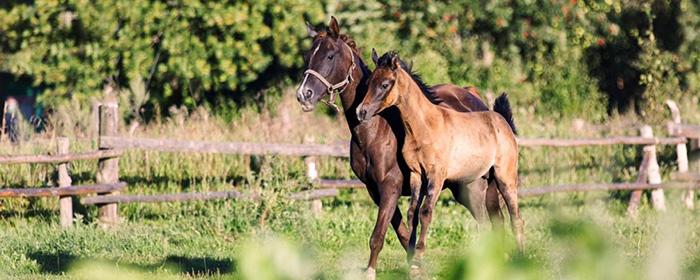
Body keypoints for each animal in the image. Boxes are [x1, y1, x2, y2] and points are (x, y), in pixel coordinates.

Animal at [294, 17, 498, 278]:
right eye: (309, 55)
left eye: (330, 56)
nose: (304, 95)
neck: (376, 130)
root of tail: (474, 97)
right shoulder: (375, 190)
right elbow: (402, 232)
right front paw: (416, 267)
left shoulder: (390, 188)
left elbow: (378, 235)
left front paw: (371, 272)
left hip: (473, 187)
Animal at [358, 51, 524, 270]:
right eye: (368, 82)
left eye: (385, 84)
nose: (361, 112)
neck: (424, 126)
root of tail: (503, 122)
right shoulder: (416, 174)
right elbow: (412, 213)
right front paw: (411, 258)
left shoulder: (436, 175)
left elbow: (426, 212)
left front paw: (418, 256)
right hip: (479, 185)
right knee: (488, 222)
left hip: (505, 179)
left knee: (516, 219)